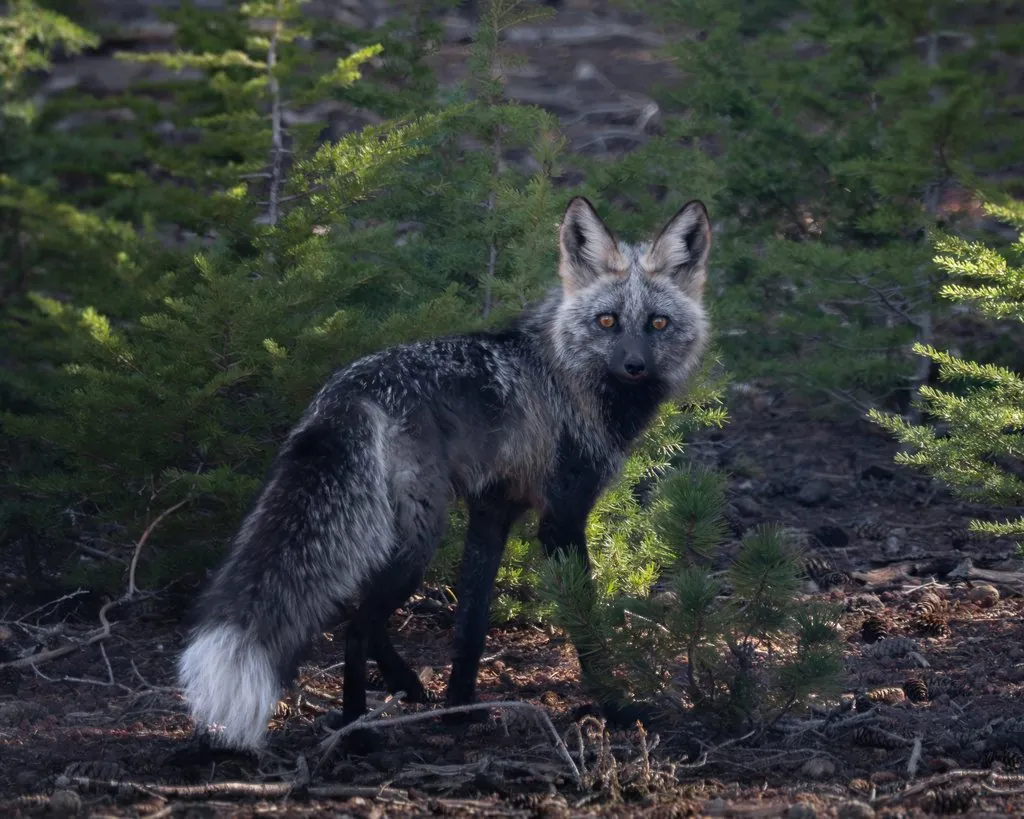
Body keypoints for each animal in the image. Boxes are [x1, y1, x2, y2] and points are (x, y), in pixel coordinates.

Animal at [177, 196, 712, 752]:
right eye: (607, 321)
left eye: (657, 324)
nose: (634, 366)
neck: (567, 375)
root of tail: (351, 390)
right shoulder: (561, 519)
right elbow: (584, 626)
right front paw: (616, 707)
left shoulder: (493, 508)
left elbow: (470, 624)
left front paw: (460, 707)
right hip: (419, 537)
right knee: (355, 628)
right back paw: (355, 729)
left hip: (393, 532)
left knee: (358, 614)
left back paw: (407, 687)